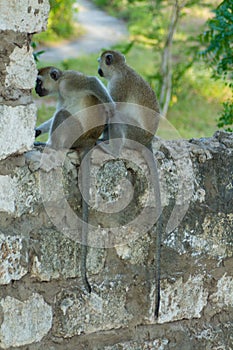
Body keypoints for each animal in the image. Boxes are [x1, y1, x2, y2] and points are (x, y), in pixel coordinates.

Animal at [35, 65, 115, 292]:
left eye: (38, 81)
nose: (36, 90)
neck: (60, 83)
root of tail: (88, 140)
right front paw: (36, 131)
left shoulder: (71, 82)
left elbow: (92, 82)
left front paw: (111, 110)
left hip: (75, 133)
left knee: (63, 115)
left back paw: (52, 146)